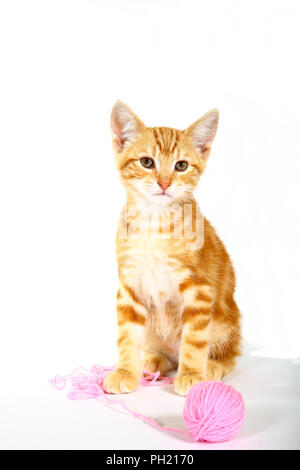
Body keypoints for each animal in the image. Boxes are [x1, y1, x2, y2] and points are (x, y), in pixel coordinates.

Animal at [103, 101, 241, 394]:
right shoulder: (129, 285)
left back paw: (212, 365)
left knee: (230, 352)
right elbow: (127, 336)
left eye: (181, 165)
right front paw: (125, 372)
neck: (154, 222)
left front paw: (191, 374)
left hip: (226, 320)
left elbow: (195, 339)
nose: (165, 183)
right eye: (147, 162)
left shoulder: (199, 288)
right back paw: (153, 359)